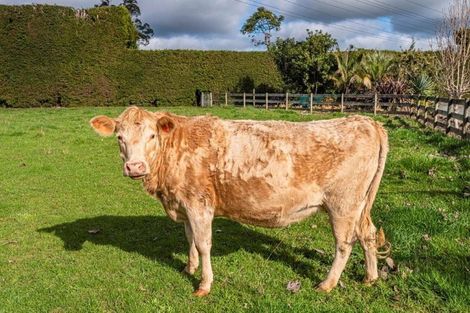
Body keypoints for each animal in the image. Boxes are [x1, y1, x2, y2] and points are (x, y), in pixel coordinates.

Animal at [89, 105, 390, 294]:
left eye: (152, 135)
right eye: (119, 137)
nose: (135, 167)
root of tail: (366, 121)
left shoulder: (199, 204)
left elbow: (203, 244)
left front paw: (204, 284)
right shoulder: (184, 204)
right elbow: (189, 239)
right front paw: (189, 267)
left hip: (343, 204)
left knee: (344, 243)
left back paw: (327, 284)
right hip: (359, 206)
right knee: (368, 234)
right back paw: (370, 277)